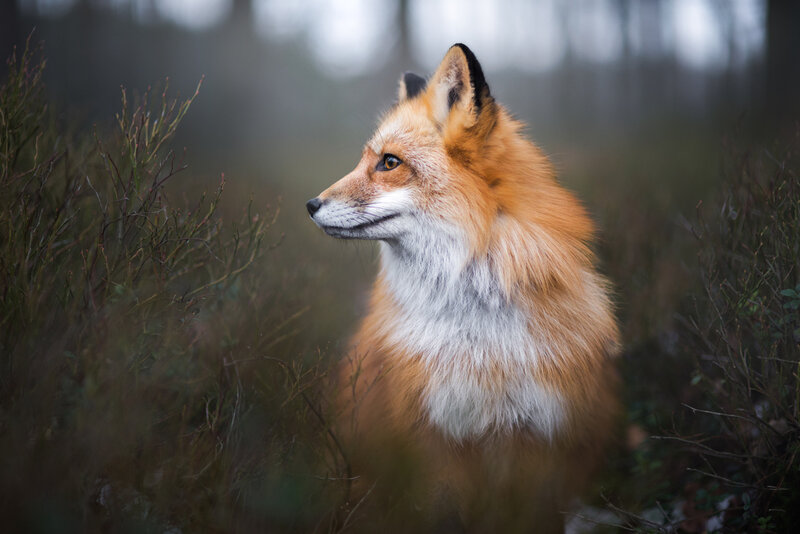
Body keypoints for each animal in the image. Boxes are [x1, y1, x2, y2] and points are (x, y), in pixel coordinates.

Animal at [307, 44, 620, 532]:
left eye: (389, 162)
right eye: (365, 160)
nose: (311, 205)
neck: (480, 339)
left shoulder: (538, 438)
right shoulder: (436, 438)